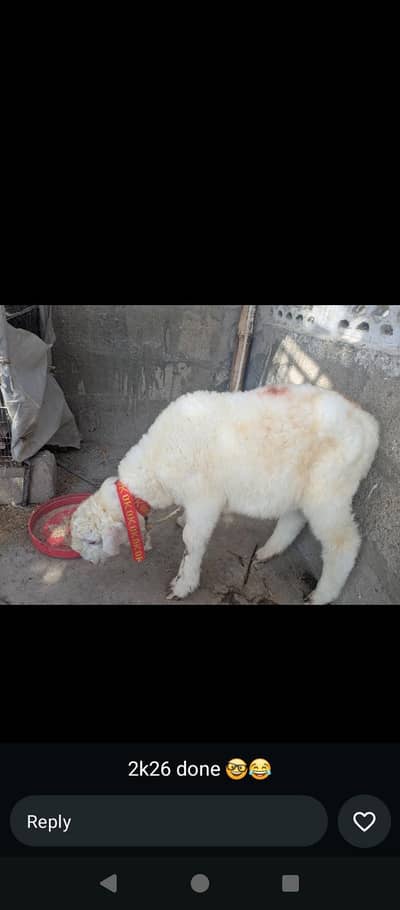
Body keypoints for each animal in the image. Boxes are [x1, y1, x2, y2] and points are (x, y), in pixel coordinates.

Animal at [70, 384, 379, 604]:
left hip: (329, 490)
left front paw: (183, 584)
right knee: (293, 519)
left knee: (344, 542)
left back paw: (322, 595)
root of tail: (368, 423)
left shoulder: (204, 499)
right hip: (300, 486)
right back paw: (267, 552)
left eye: (93, 541)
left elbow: (191, 542)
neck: (156, 466)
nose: (86, 561)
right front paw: (181, 521)